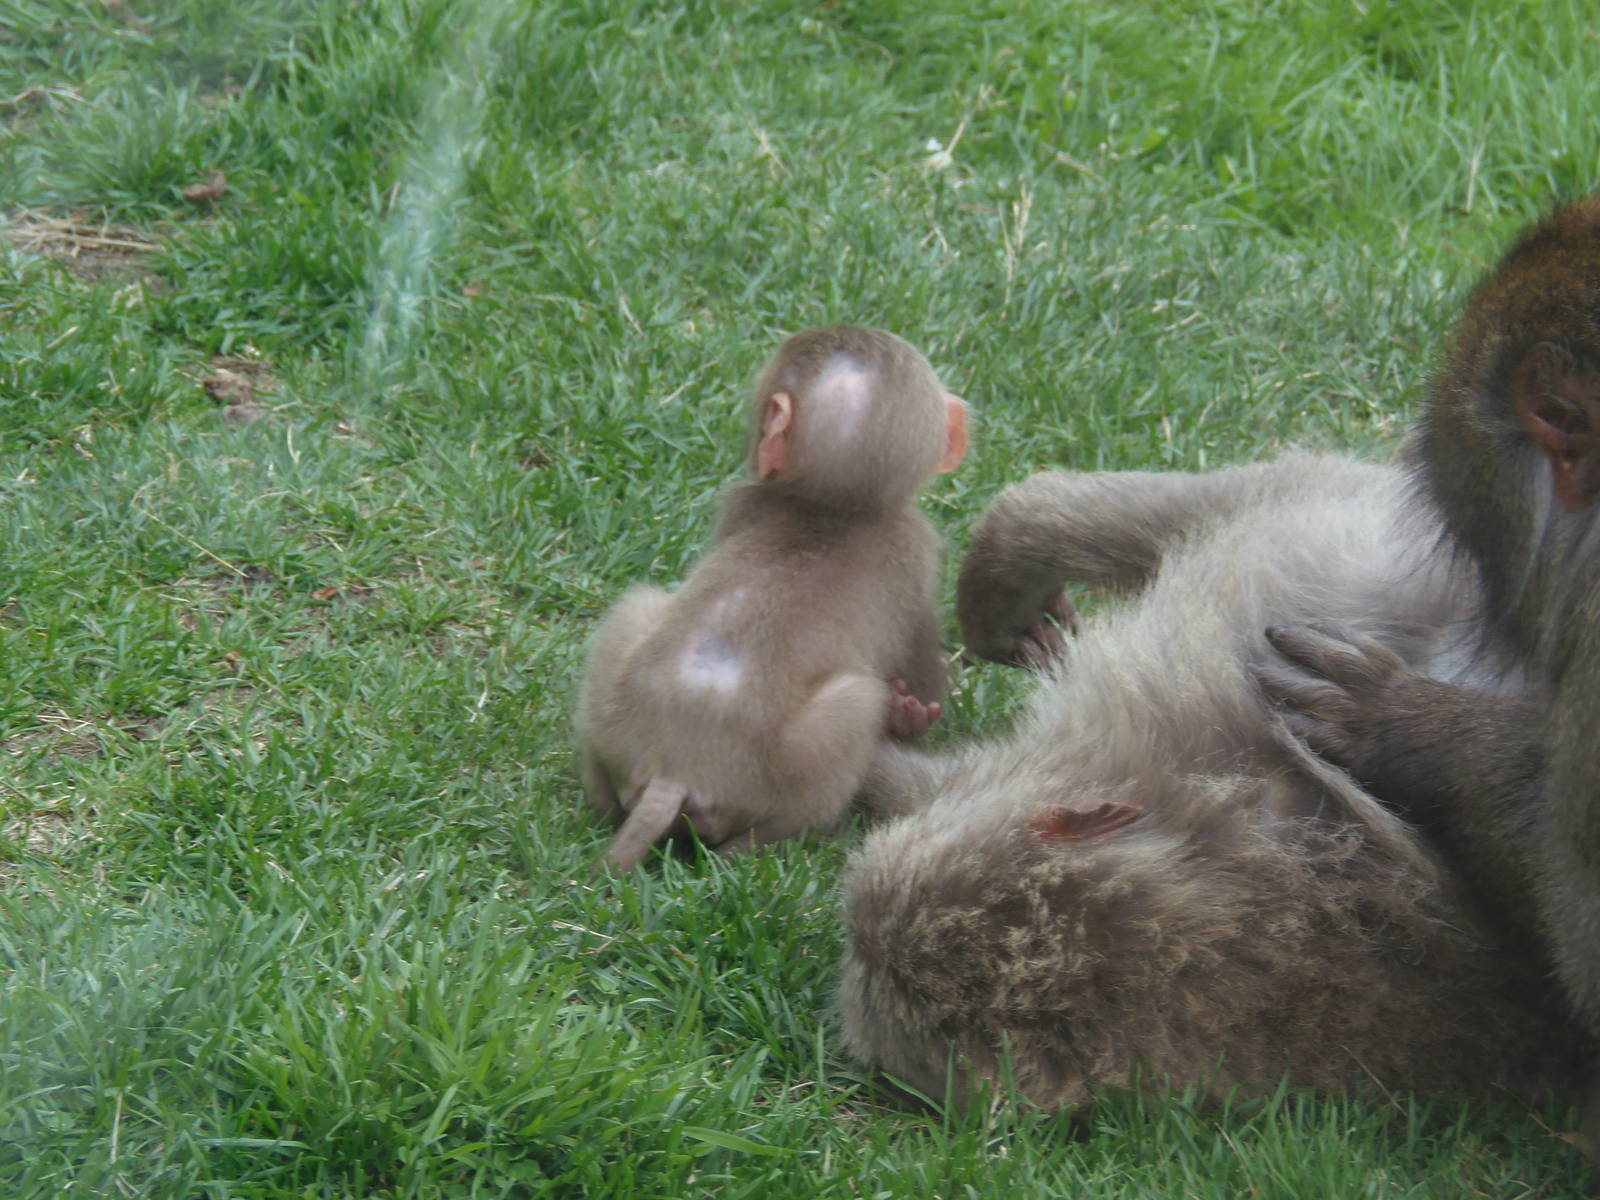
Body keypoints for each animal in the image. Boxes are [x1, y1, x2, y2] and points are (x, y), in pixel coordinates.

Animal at [575, 325, 968, 871]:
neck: (830, 512)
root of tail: (675, 769)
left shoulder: (742, 505)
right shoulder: (920, 560)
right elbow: (928, 685)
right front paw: (909, 713)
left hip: (616, 714)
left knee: (639, 608)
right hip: (784, 771)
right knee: (854, 704)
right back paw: (770, 843)